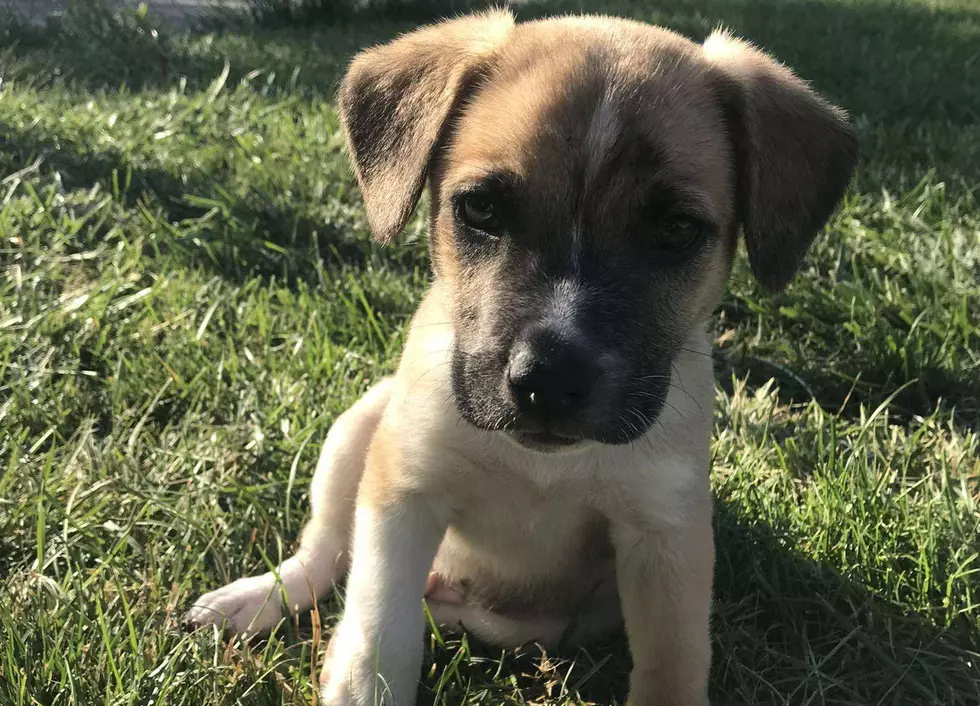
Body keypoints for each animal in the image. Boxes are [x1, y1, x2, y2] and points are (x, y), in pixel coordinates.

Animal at [186, 11, 856, 704]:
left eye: (675, 230)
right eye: (480, 208)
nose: (550, 384)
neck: (541, 466)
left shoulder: (666, 534)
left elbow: (672, 663)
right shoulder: (404, 492)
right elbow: (378, 630)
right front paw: (360, 675)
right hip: (357, 429)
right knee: (325, 553)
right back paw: (256, 599)